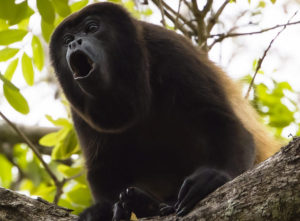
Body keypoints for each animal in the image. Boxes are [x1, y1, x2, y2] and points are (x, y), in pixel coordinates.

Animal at [49, 2, 282, 221]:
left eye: (92, 28)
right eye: (67, 39)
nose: (74, 43)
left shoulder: (170, 49)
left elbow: (221, 120)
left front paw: (215, 174)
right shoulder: (78, 111)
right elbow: (102, 165)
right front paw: (108, 209)